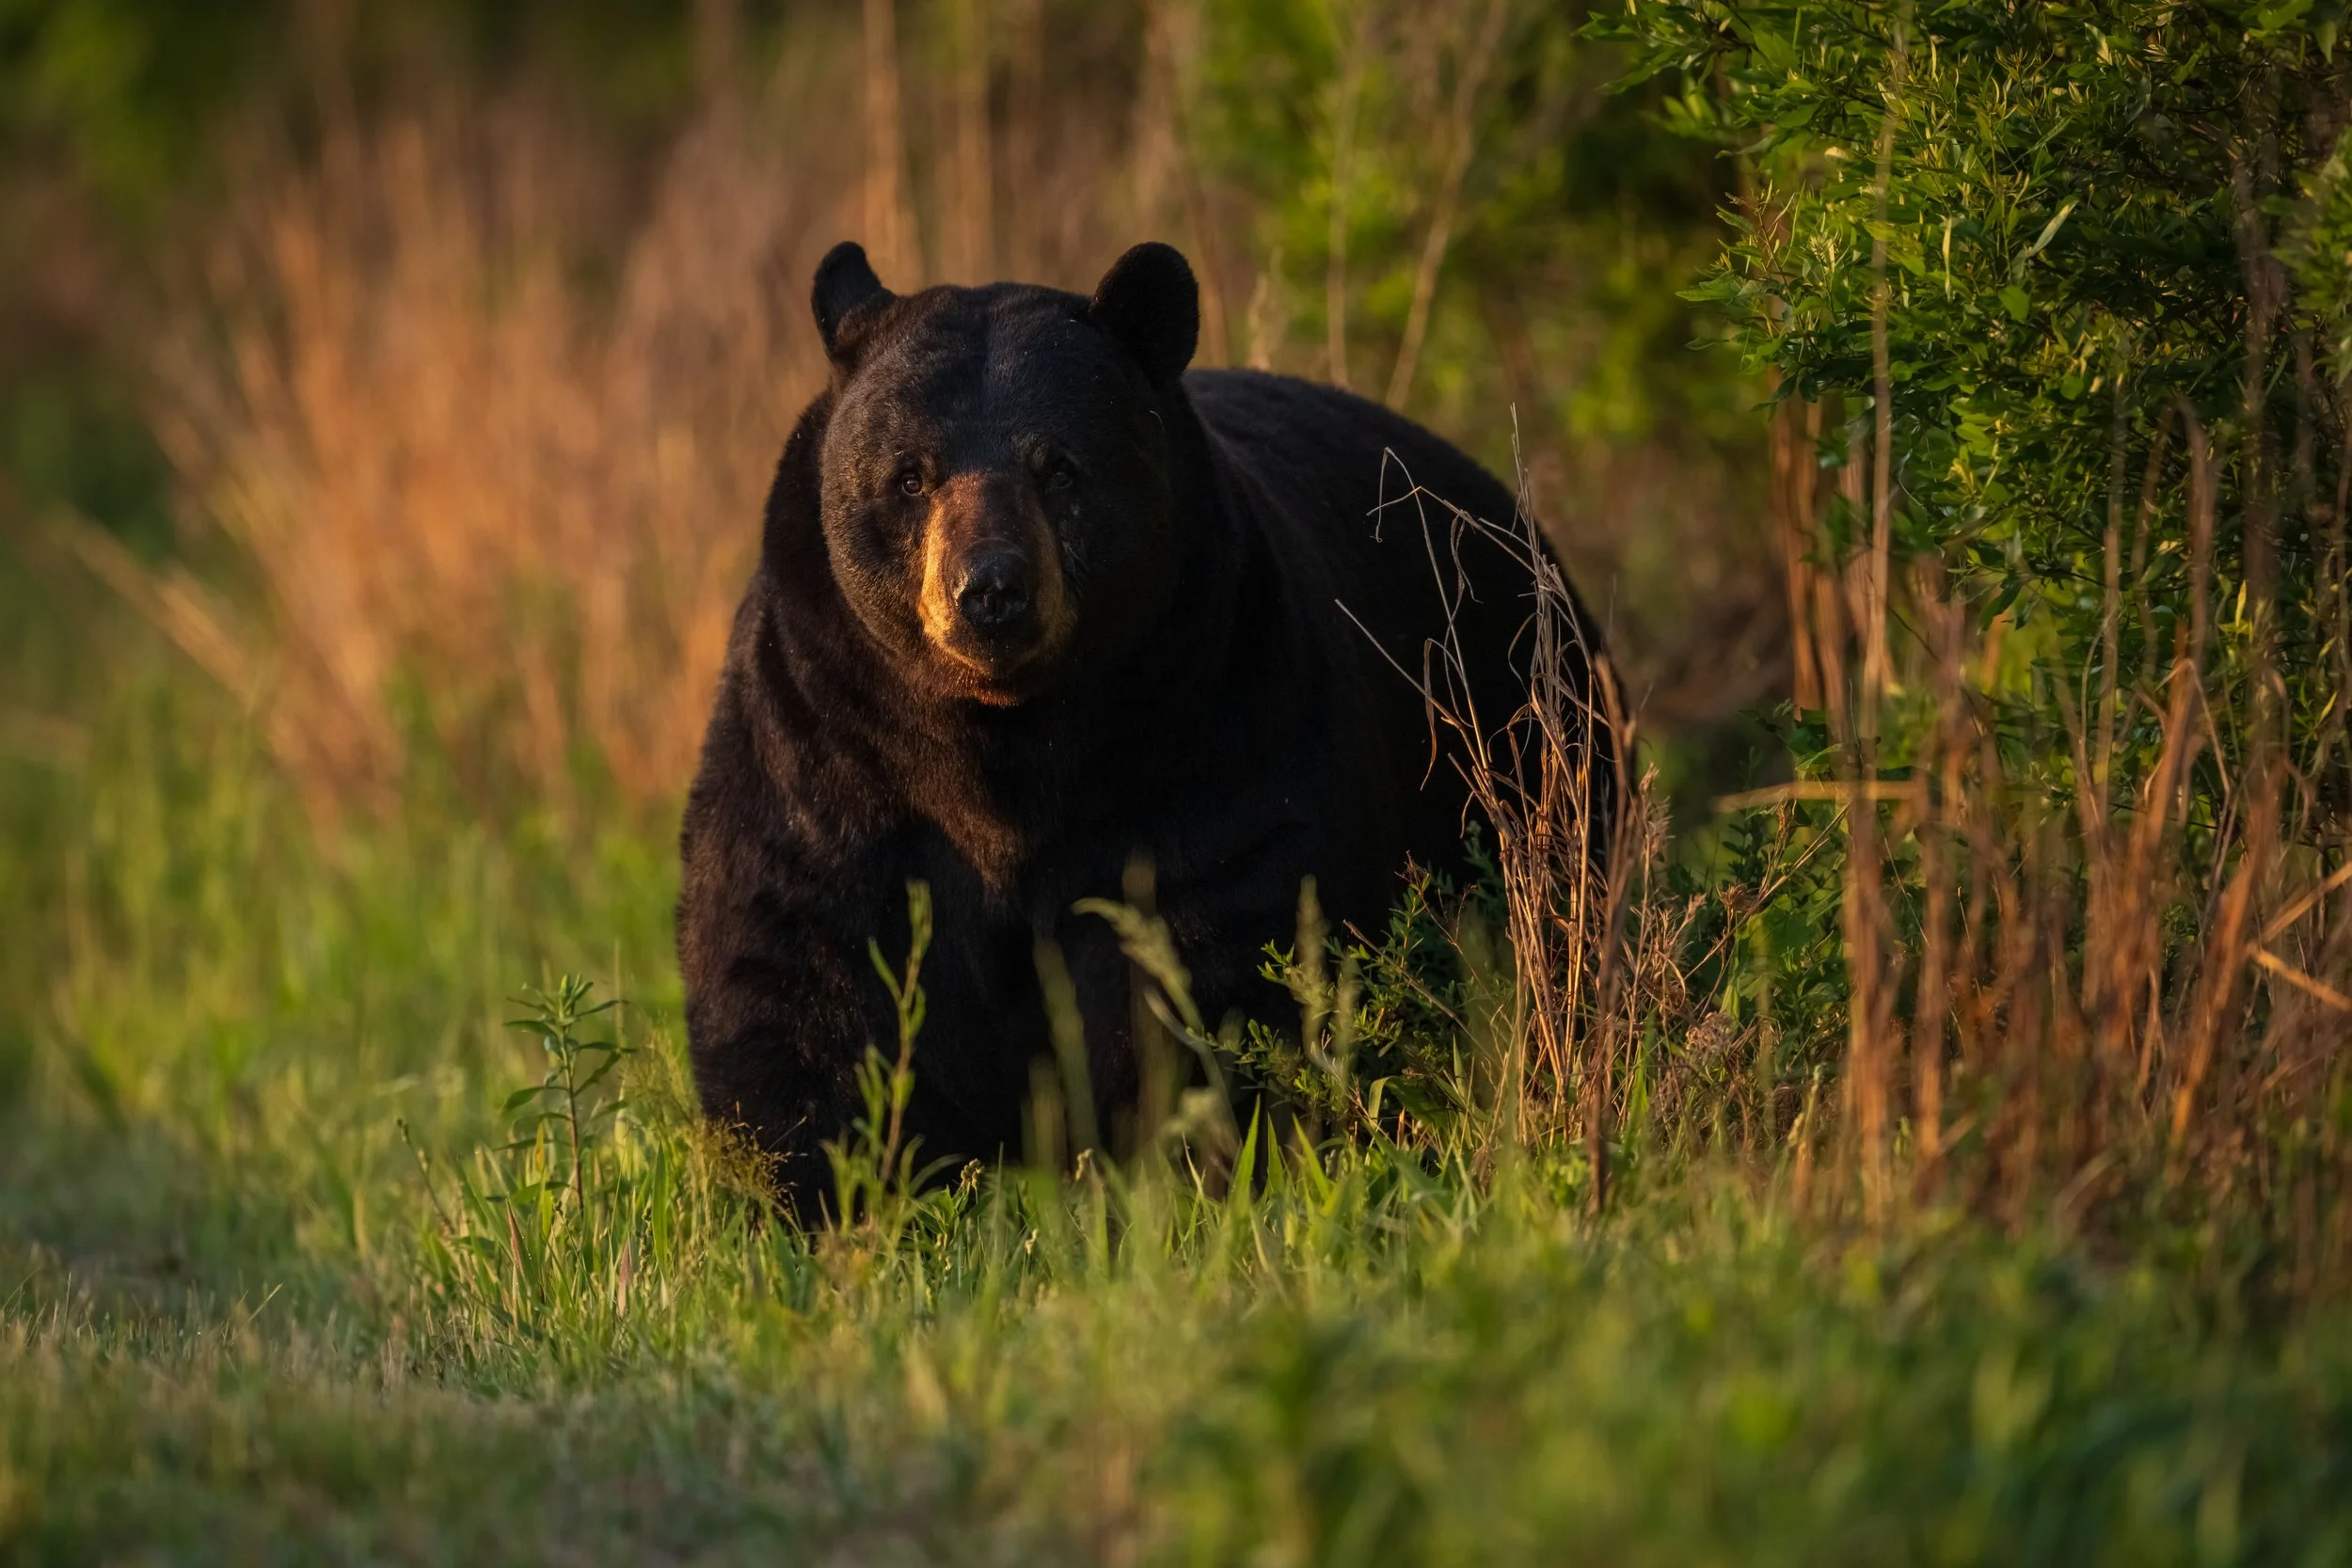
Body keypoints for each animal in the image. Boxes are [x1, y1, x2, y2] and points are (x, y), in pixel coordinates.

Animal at [677, 239, 1610, 1215]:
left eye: (1059, 466)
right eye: (909, 474)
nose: (992, 591)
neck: (999, 753)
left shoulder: (1217, 732)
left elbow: (1219, 951)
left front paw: (1197, 1166)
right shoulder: (822, 747)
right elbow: (797, 963)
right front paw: (823, 1193)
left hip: (1527, 735)